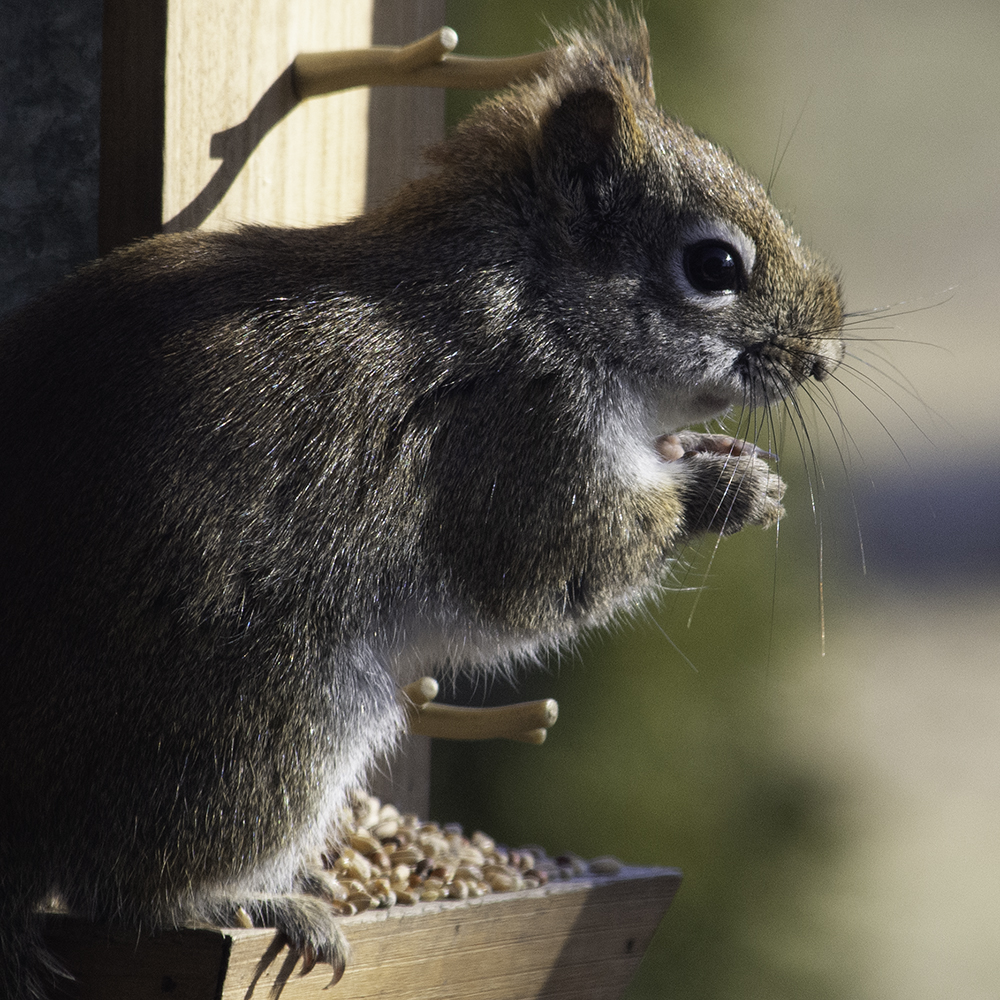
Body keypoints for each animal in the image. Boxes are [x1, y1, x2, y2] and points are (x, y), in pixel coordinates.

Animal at [0, 8, 843, 995]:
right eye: (714, 264)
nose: (824, 354)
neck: (535, 302)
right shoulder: (515, 442)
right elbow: (550, 569)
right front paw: (726, 489)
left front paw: (709, 456)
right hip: (264, 724)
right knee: (126, 889)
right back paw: (257, 902)